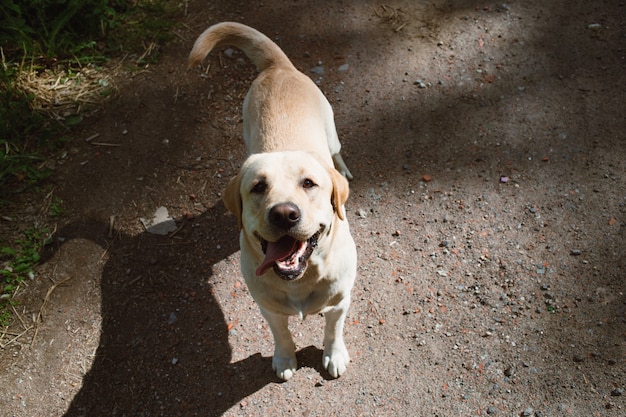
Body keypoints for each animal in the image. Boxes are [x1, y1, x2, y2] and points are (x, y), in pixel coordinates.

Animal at [188, 22, 356, 380]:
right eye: (258, 187)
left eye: (309, 183)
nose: (284, 214)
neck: (300, 280)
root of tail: (278, 67)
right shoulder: (268, 309)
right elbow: (282, 334)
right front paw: (284, 359)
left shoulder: (340, 303)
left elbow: (333, 330)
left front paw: (334, 355)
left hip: (331, 131)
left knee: (336, 152)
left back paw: (343, 170)